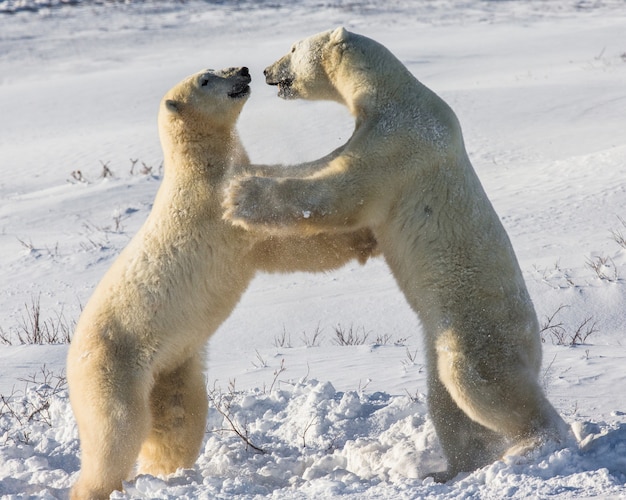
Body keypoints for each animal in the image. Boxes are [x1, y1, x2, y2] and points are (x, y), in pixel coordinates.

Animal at [67, 67, 376, 500]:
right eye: (205, 79)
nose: (243, 70)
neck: (200, 169)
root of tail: (72, 354)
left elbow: (280, 250)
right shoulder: (217, 206)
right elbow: (281, 233)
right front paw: (363, 235)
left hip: (172, 365)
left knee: (179, 420)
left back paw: (167, 472)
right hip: (114, 366)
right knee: (116, 431)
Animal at [222, 28, 568, 480]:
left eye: (294, 48)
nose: (265, 70)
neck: (393, 92)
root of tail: (534, 344)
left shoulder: (396, 140)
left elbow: (339, 193)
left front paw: (240, 195)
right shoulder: (365, 131)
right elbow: (322, 168)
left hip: (478, 329)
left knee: (480, 383)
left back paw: (533, 444)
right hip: (441, 336)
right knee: (449, 405)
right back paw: (448, 470)